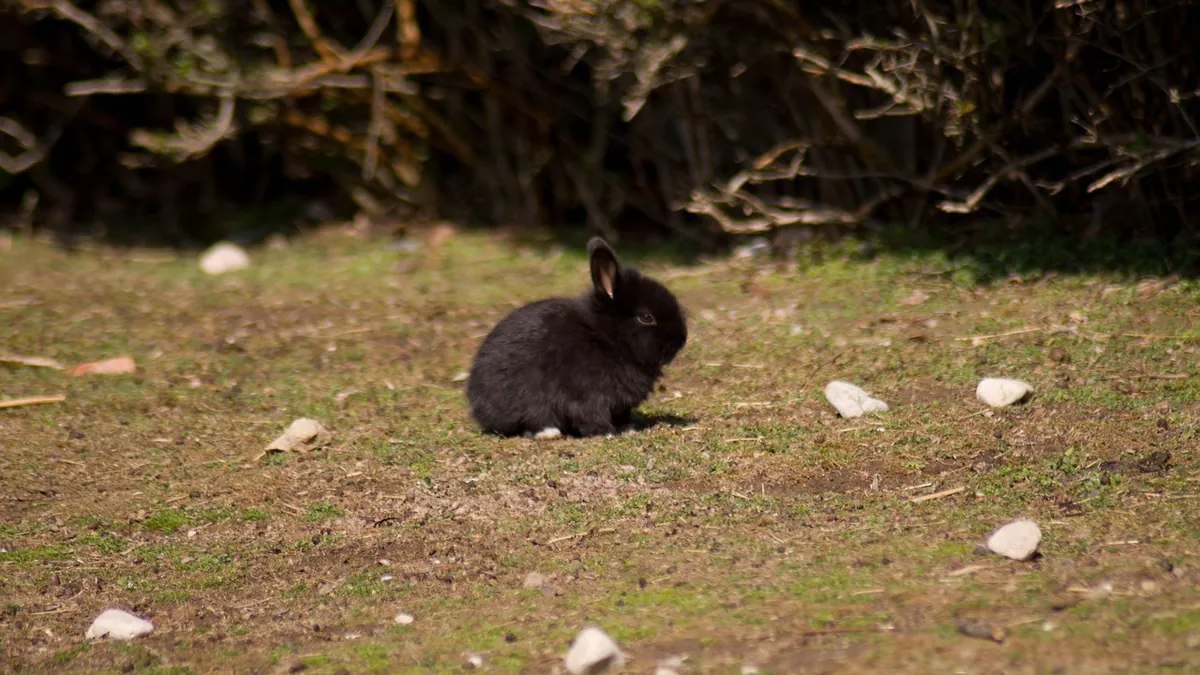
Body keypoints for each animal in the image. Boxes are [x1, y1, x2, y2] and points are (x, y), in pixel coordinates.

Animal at [466, 237, 688, 437]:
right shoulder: (587, 395)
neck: (607, 338)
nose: (681, 339)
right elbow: (589, 413)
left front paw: (627, 428)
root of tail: (477, 404)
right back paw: (548, 432)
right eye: (646, 317)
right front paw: (605, 432)